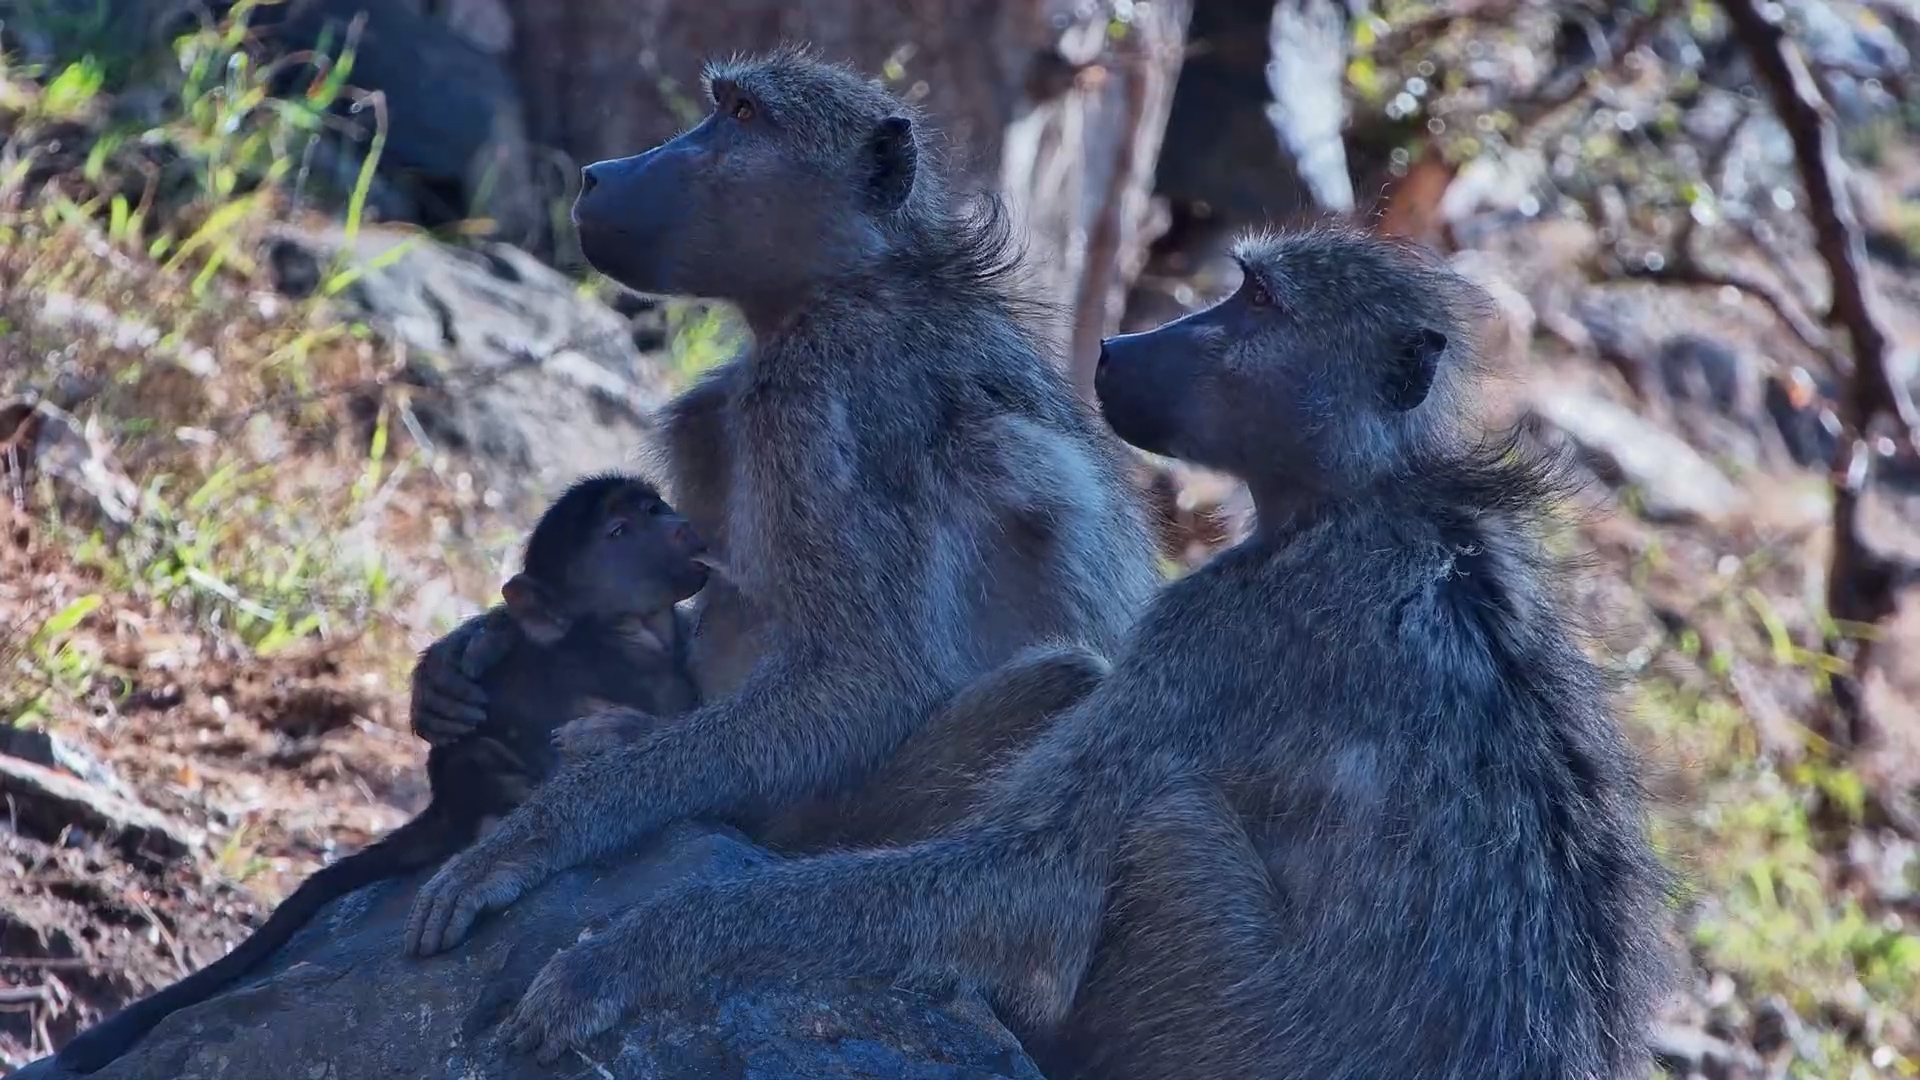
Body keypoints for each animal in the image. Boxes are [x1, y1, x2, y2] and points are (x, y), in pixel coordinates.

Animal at [399, 47, 1160, 970]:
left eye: (741, 116)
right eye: (720, 105)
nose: (597, 173)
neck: (849, 288)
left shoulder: (818, 401)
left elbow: (868, 680)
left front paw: (531, 839)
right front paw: (465, 652)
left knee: (1063, 680)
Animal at [421, 223, 1670, 1080]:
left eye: (1259, 299)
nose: (1128, 340)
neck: (1371, 499)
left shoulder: (1214, 627)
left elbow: (1021, 885)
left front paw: (614, 952)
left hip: (1215, 1025)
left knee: (1149, 818)